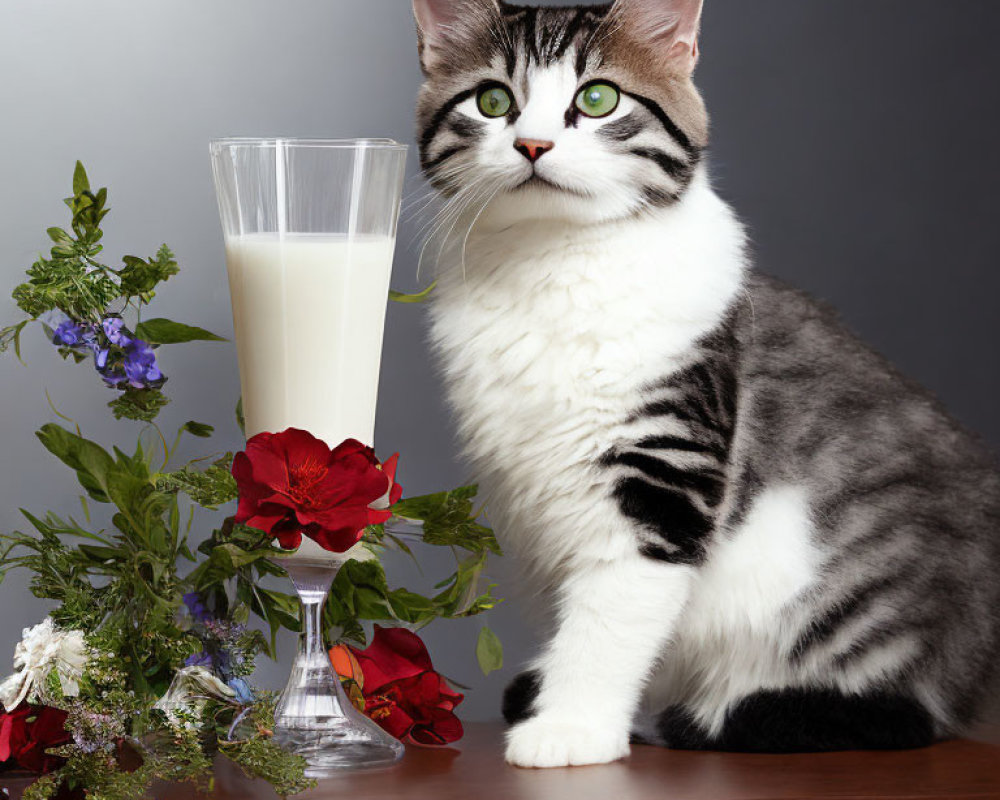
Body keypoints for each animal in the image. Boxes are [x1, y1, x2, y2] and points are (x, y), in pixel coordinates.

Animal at [408, 0, 1000, 768]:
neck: (551, 263)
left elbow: (611, 617)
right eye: (492, 102)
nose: (532, 144)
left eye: (597, 100)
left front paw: (572, 725)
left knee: (895, 713)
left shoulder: (663, 472)